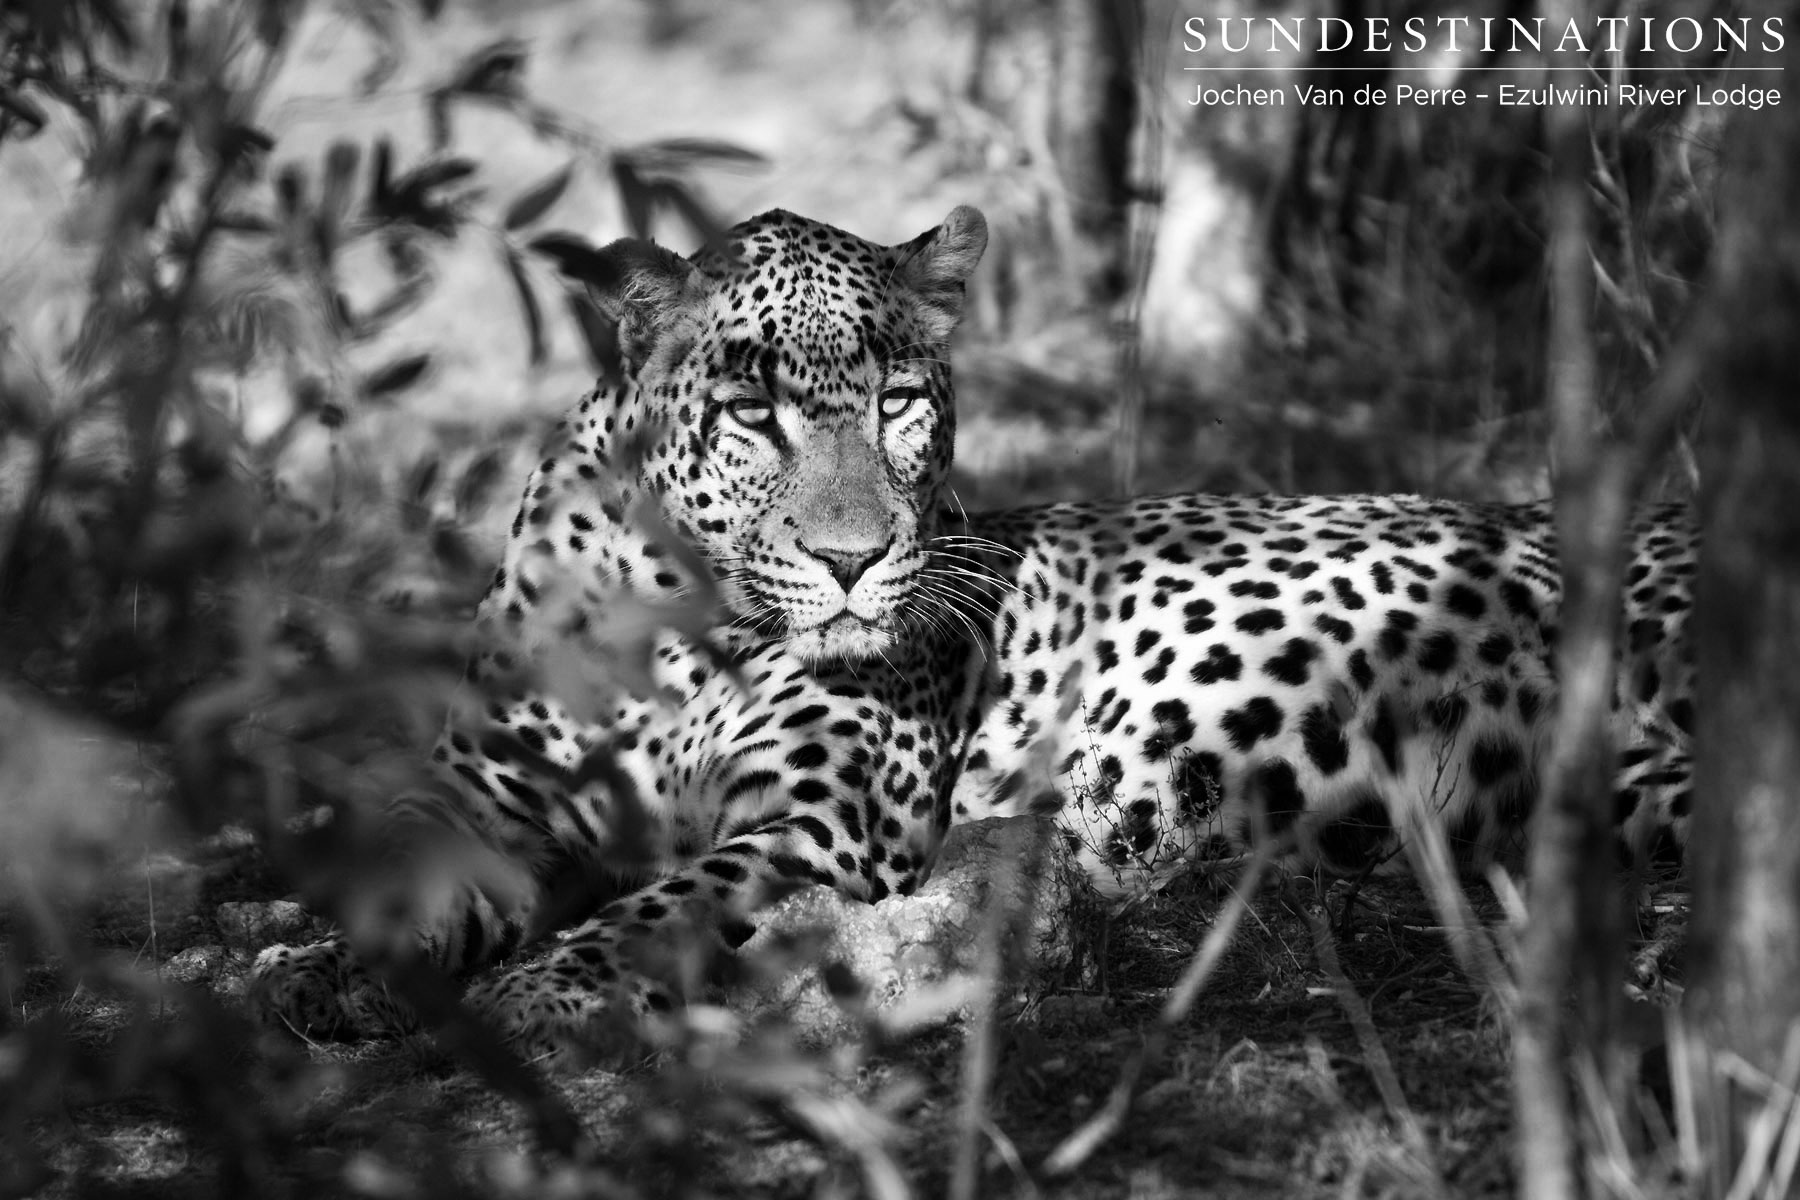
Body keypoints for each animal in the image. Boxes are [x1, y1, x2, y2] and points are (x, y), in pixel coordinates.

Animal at [249, 205, 1696, 1049]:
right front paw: (308, 971)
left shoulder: (822, 827)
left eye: (898, 400)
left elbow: (656, 908)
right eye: (755, 413)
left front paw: (535, 991)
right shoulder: (485, 788)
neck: (672, 613)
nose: (852, 559)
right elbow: (401, 858)